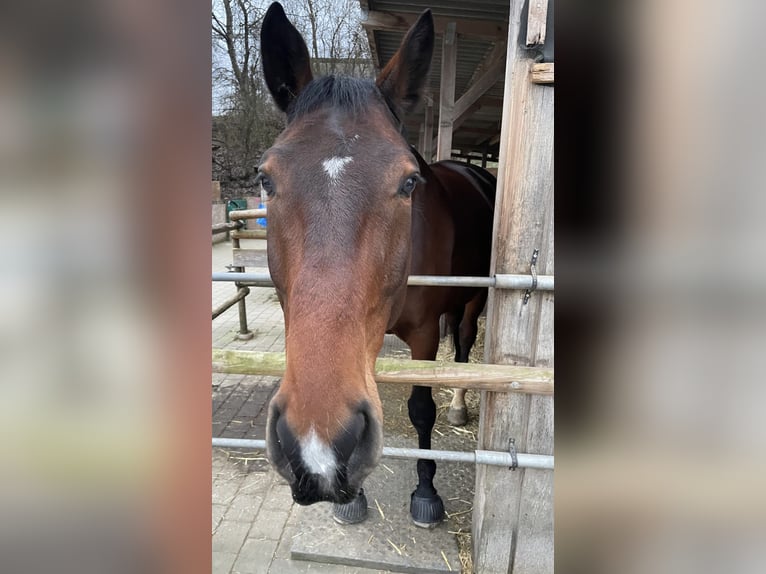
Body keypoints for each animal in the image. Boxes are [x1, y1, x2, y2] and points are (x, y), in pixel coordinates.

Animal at [259, 3, 495, 527]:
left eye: (408, 183)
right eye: (265, 179)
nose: (316, 448)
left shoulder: (425, 335)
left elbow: (421, 408)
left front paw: (426, 491)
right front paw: (354, 496)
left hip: (475, 298)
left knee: (464, 347)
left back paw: (459, 406)